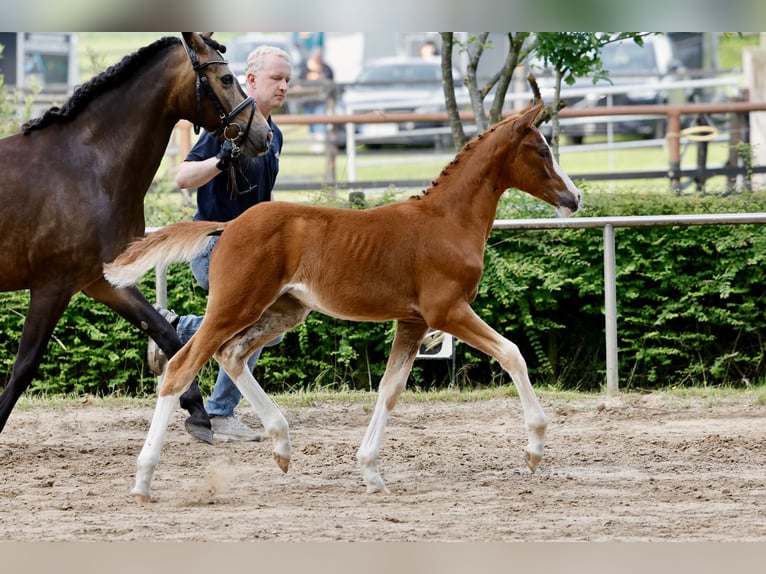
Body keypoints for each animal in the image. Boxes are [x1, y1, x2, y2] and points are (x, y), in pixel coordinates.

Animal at [0, 33, 272, 442]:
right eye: (225, 79)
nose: (263, 134)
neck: (87, 166)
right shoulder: (52, 285)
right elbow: (24, 366)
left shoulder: (102, 280)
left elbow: (165, 333)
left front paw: (197, 414)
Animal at [104, 101, 583, 503]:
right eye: (542, 151)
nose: (575, 197)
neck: (447, 221)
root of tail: (228, 225)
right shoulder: (446, 311)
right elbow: (513, 353)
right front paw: (535, 449)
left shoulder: (412, 322)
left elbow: (390, 390)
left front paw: (370, 471)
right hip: (235, 306)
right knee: (182, 367)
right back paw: (143, 481)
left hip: (284, 310)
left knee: (233, 354)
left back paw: (282, 446)